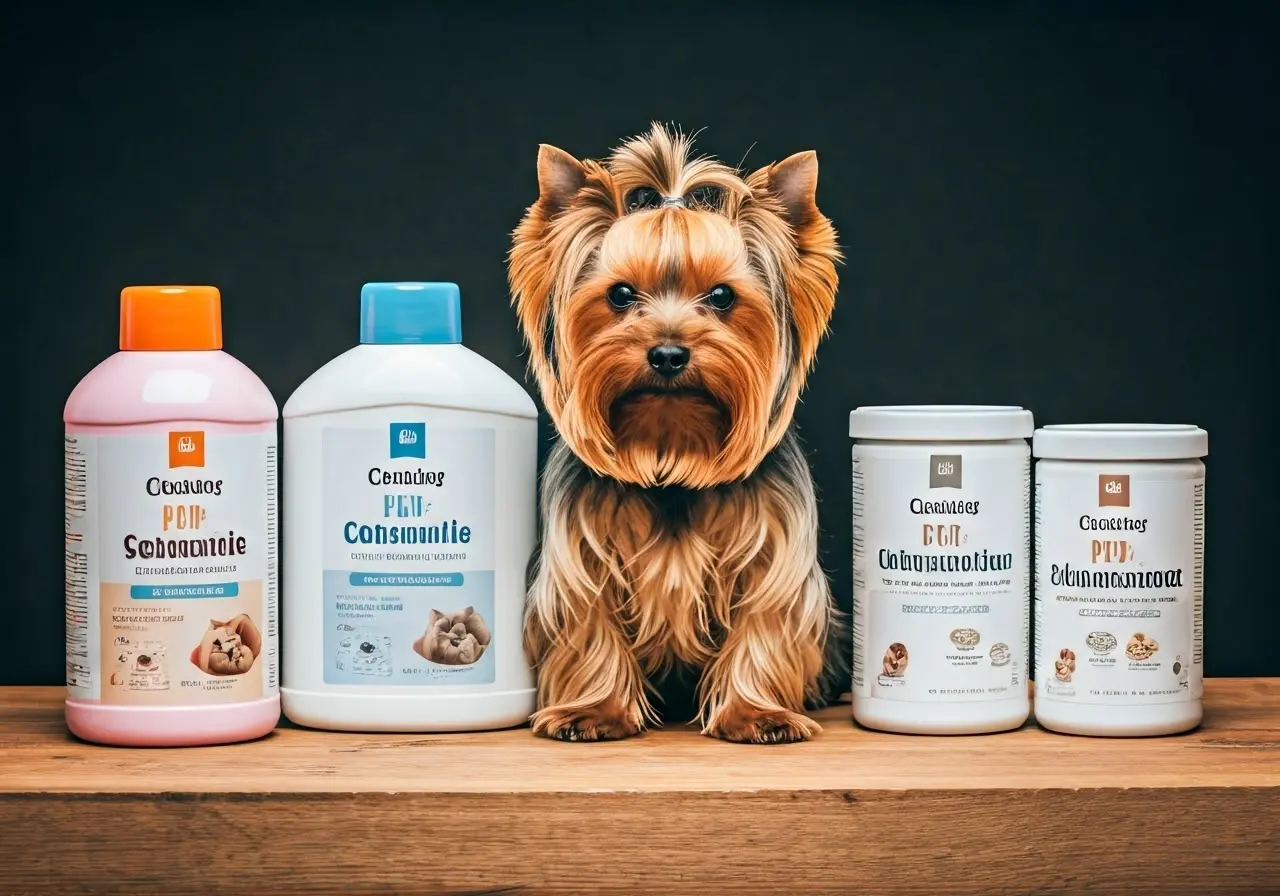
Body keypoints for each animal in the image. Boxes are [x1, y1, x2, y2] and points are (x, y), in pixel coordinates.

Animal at [504, 124, 844, 742]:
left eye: (722, 296)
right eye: (619, 295)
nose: (667, 353)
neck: (672, 453)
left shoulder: (774, 553)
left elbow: (764, 622)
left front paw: (759, 715)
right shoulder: (581, 554)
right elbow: (589, 623)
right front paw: (593, 711)